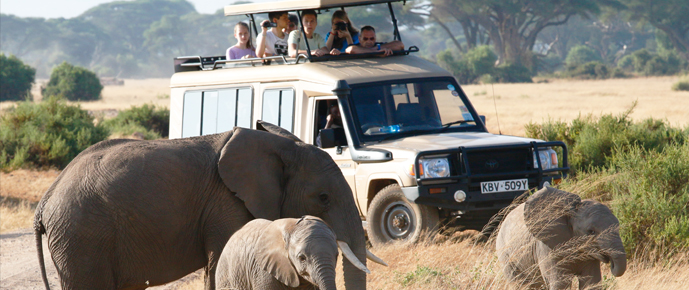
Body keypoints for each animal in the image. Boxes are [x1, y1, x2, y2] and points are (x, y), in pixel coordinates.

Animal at [498, 187, 628, 288]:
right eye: (591, 232)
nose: (611, 264)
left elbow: (591, 281)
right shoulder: (547, 249)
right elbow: (560, 284)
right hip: (506, 257)